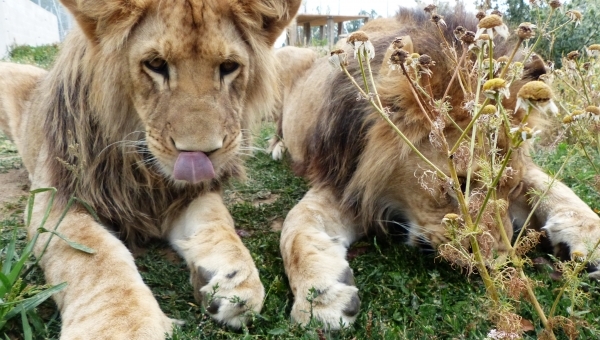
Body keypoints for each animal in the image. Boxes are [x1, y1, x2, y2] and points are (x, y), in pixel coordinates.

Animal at [0, 0, 300, 338]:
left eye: (228, 67)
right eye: (156, 64)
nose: (199, 154)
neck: (143, 172)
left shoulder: (187, 195)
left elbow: (218, 222)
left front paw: (235, 281)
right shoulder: (55, 198)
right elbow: (94, 254)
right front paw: (121, 326)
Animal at [276, 9, 600, 328]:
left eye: (513, 187)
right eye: (462, 184)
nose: (497, 263)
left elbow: (552, 186)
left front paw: (590, 235)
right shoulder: (344, 184)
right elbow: (295, 226)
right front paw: (319, 298)